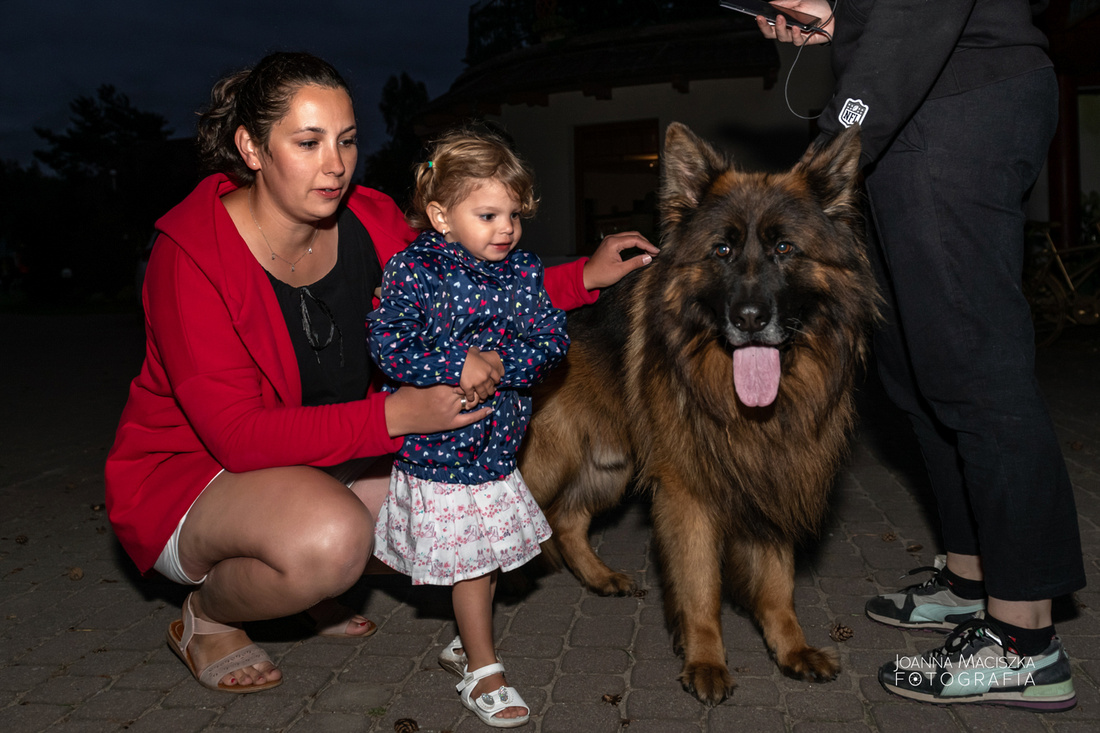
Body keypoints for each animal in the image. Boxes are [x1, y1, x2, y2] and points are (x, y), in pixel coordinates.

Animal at [517, 121, 875, 704]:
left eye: (784, 248)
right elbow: (699, 585)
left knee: (568, 520)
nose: (749, 318)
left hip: (611, 460)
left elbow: (777, 582)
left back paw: (598, 576)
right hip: (548, 457)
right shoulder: (687, 492)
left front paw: (791, 647)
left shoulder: (773, 472)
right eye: (722, 250)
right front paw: (705, 658)